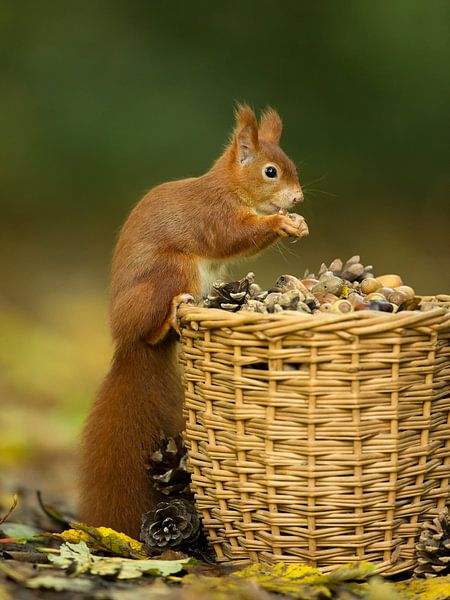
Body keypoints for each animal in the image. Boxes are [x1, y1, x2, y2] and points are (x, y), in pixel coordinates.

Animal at [78, 105, 310, 536]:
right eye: (271, 172)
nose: (299, 197)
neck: (231, 189)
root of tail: (125, 341)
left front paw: (297, 222)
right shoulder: (213, 216)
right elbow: (231, 236)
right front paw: (282, 222)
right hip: (172, 271)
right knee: (154, 330)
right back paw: (172, 313)